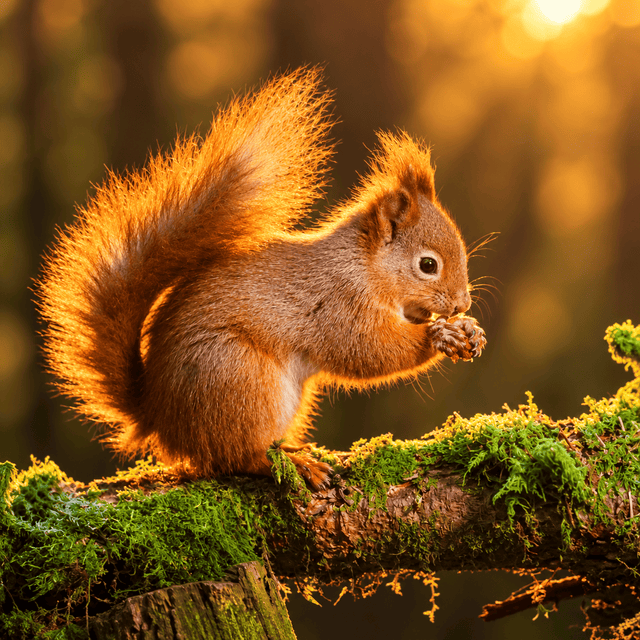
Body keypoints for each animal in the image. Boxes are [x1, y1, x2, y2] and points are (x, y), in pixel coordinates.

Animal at [37, 68, 486, 490]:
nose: (462, 303)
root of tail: (161, 419)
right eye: (427, 265)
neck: (363, 266)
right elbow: (370, 351)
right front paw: (440, 336)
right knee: (236, 457)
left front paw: (468, 330)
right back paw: (293, 464)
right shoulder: (338, 305)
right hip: (241, 381)